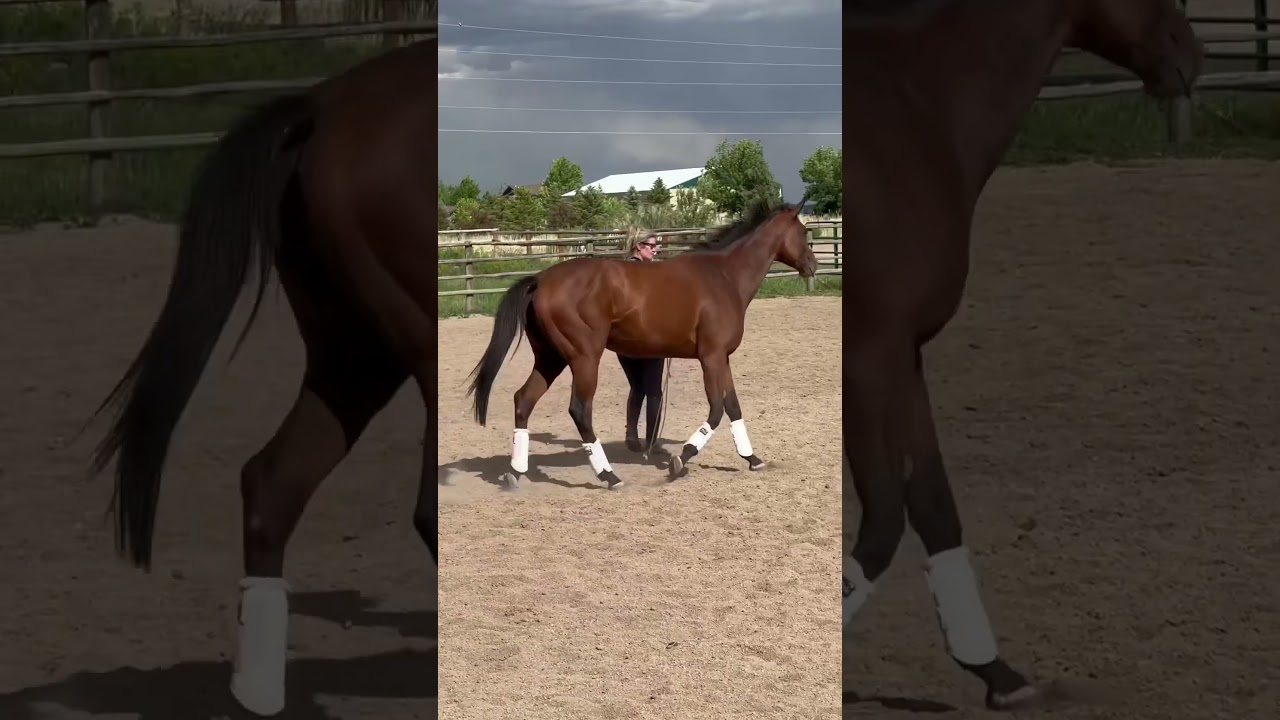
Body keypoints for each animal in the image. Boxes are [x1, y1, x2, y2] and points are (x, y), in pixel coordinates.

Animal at [85, 38, 439, 717]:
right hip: (410, 348)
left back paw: (255, 693)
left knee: (272, 483)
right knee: (426, 509)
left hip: (355, 357)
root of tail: (323, 104)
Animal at [465, 198, 818, 491]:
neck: (724, 277)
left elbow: (733, 407)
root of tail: (541, 280)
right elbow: (717, 410)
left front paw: (753, 459)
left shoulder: (723, 358)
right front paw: (681, 458)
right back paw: (608, 475)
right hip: (583, 358)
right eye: (803, 232)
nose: (813, 265)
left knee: (523, 400)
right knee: (579, 410)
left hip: (551, 359)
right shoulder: (711, 357)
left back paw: (516, 472)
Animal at [841, 0, 1201, 710]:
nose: (1189, 55)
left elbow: (934, 507)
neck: (920, 104)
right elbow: (884, 524)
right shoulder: (868, 355)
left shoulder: (905, 354)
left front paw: (996, 673)